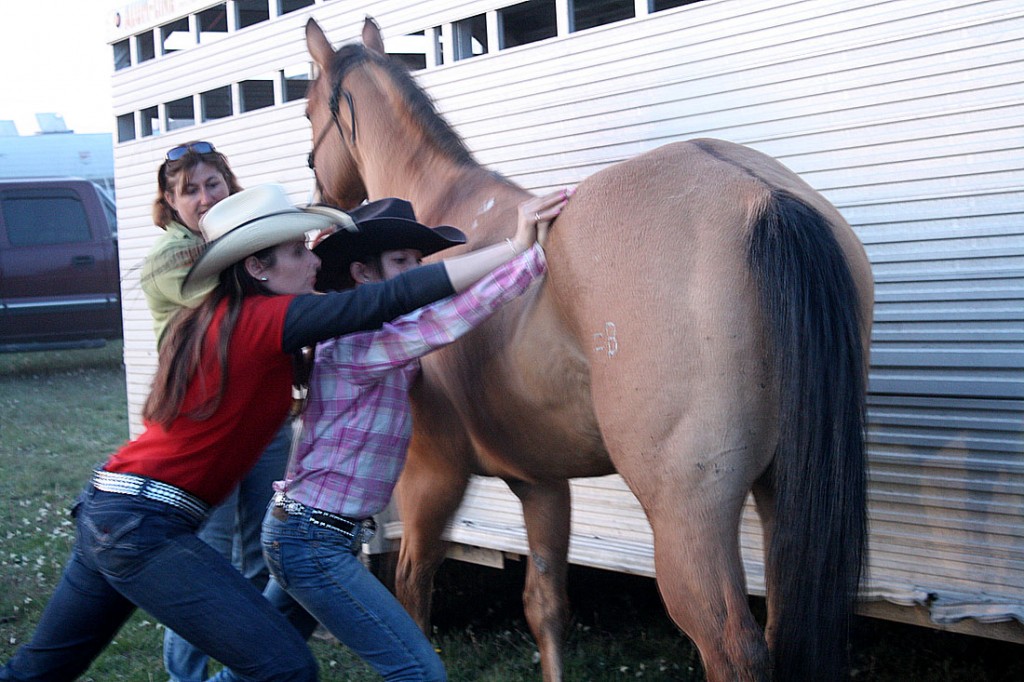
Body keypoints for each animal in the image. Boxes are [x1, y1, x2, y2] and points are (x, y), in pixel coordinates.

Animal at [301, 17, 872, 679]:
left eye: (307, 110)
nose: (322, 206)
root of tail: (762, 196)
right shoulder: (542, 485)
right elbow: (546, 606)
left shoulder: (429, 478)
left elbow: (413, 595)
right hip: (784, 495)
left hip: (687, 521)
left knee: (732, 647)